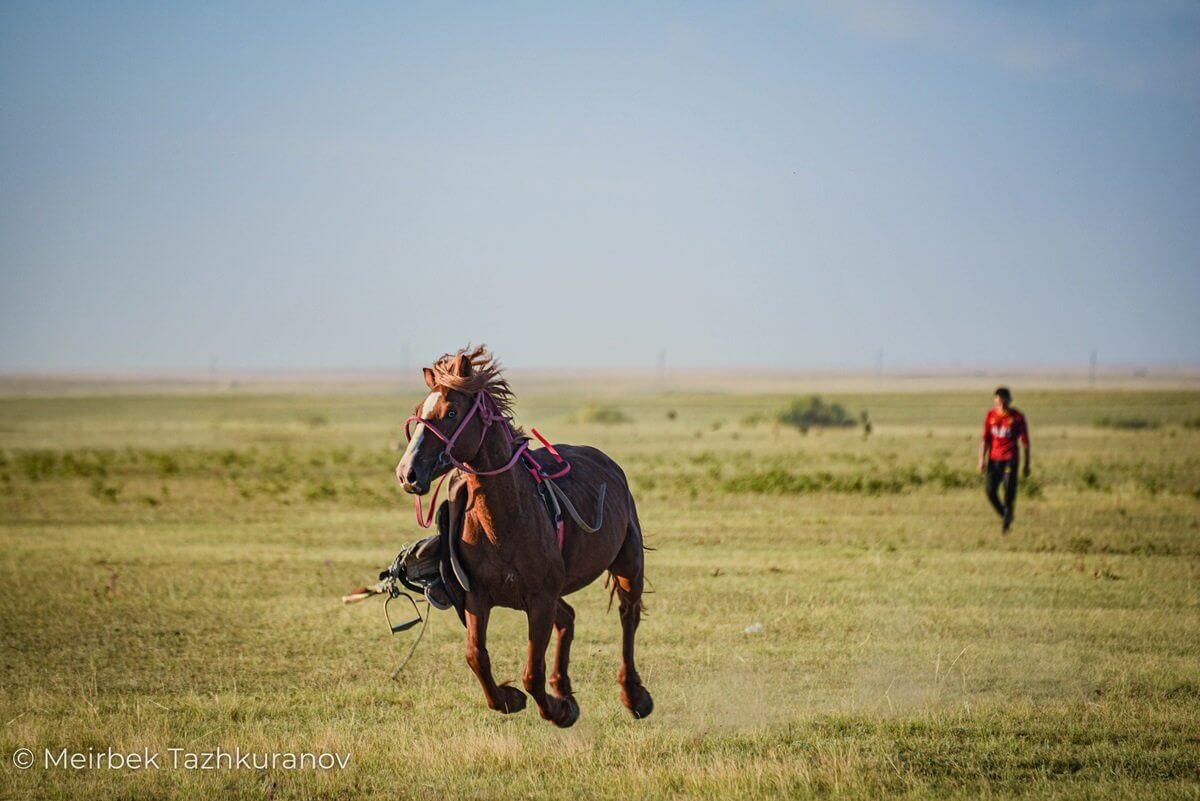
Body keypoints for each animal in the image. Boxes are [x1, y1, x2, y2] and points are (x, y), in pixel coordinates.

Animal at [396, 345, 652, 724]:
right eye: (418, 412)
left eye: (451, 412)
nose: (407, 473)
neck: (504, 521)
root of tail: (609, 463)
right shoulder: (477, 598)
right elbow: (476, 656)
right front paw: (512, 699)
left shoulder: (540, 599)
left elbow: (532, 672)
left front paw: (558, 711)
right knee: (569, 619)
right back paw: (563, 688)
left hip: (627, 564)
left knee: (627, 617)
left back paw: (633, 696)